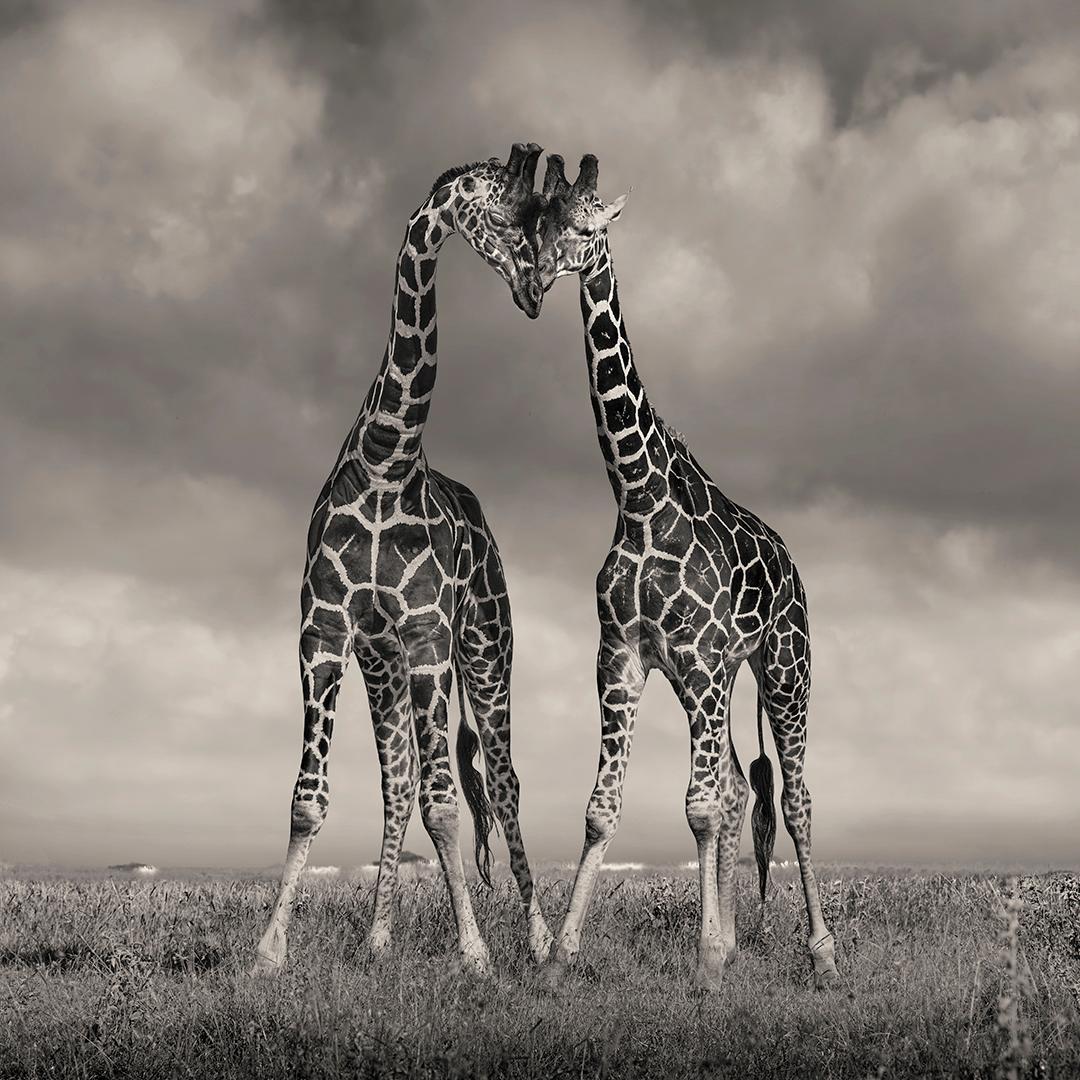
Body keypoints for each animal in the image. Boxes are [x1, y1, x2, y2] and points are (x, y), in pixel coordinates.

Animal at [254, 143, 557, 980]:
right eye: (502, 209)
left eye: (541, 211)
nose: (534, 288)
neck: (387, 462)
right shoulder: (325, 633)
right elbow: (310, 797)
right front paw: (268, 949)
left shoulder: (427, 634)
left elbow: (448, 803)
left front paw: (476, 951)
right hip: (382, 665)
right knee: (397, 785)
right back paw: (378, 938)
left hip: (484, 649)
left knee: (504, 783)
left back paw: (541, 937)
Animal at [535, 156, 838, 989]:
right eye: (544, 218)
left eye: (590, 226)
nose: (542, 273)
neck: (637, 493)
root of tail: (794, 568)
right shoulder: (623, 657)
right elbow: (603, 807)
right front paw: (561, 958)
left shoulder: (697, 659)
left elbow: (699, 807)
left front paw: (704, 962)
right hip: (718, 676)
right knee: (738, 788)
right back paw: (738, 939)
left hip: (783, 666)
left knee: (793, 798)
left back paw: (823, 953)